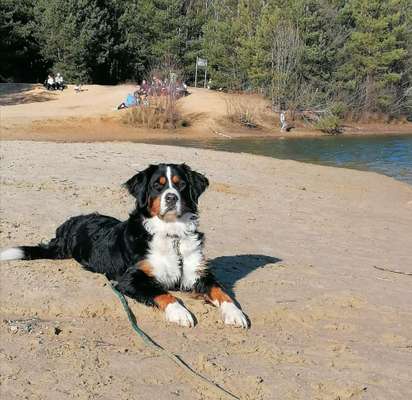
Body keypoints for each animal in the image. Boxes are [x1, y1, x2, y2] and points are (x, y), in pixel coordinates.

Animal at [0, 162, 248, 328]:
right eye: (157, 186)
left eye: (181, 185)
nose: (171, 197)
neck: (172, 235)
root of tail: (66, 227)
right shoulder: (130, 278)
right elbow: (164, 293)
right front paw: (180, 313)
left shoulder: (197, 273)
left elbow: (221, 291)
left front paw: (235, 314)